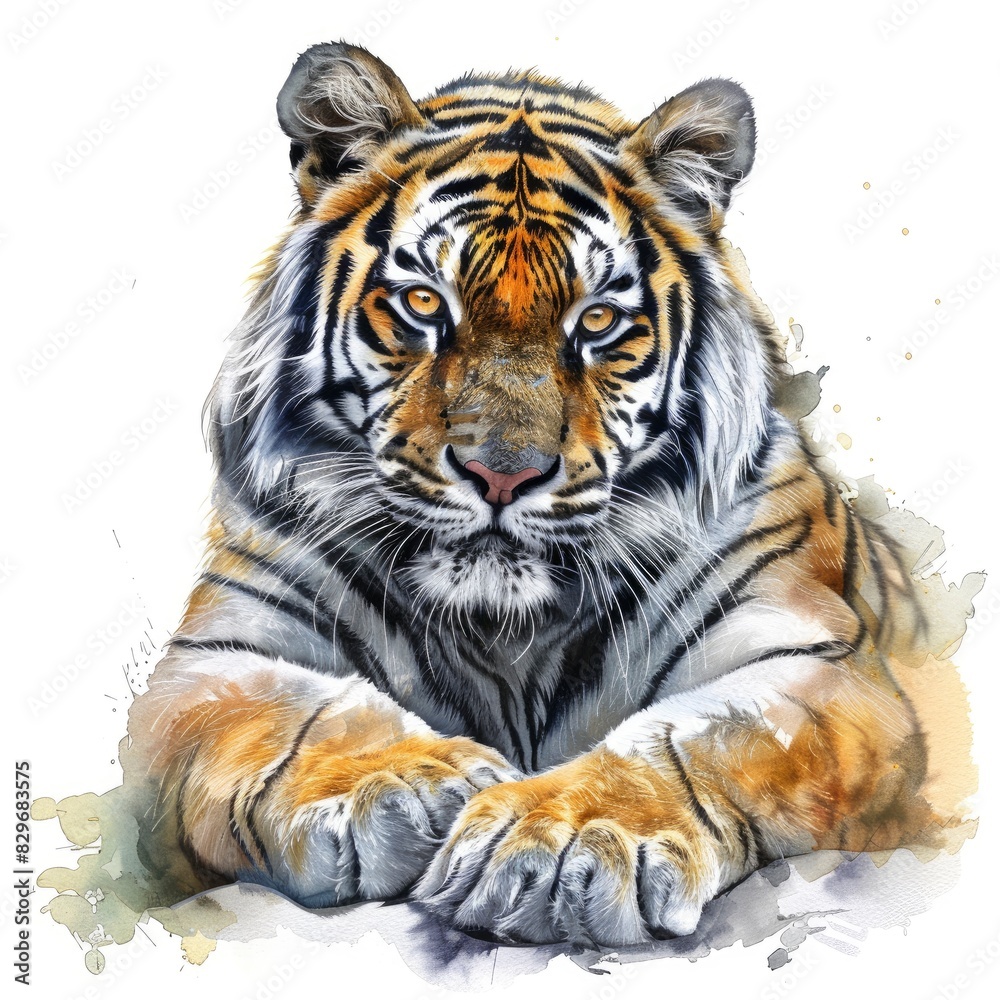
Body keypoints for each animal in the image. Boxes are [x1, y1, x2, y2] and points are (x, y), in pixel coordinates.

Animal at [124, 41, 941, 948]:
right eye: (423, 303)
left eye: (598, 322)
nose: (502, 474)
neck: (504, 630)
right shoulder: (212, 659)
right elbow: (302, 711)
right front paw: (406, 784)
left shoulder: (817, 659)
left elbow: (697, 735)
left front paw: (568, 840)